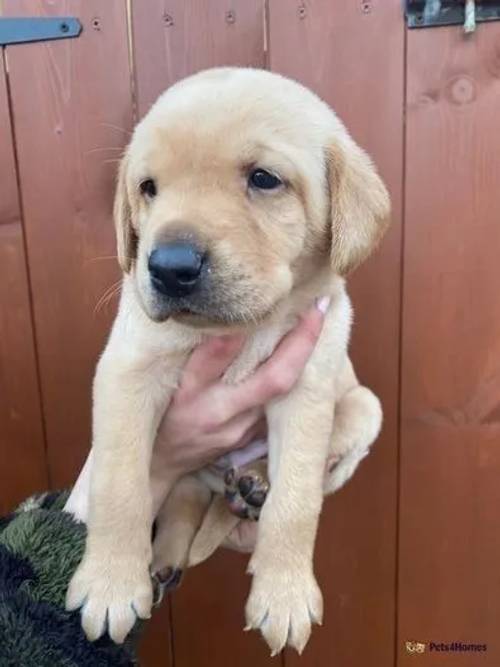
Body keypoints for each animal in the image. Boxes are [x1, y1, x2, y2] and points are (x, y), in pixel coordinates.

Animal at [64, 69, 388, 656]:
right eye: (148, 188)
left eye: (264, 179)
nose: (168, 267)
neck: (243, 330)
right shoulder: (126, 373)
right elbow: (119, 484)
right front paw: (110, 584)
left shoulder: (307, 391)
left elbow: (298, 498)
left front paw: (284, 594)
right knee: (184, 496)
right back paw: (165, 559)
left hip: (365, 406)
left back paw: (253, 485)